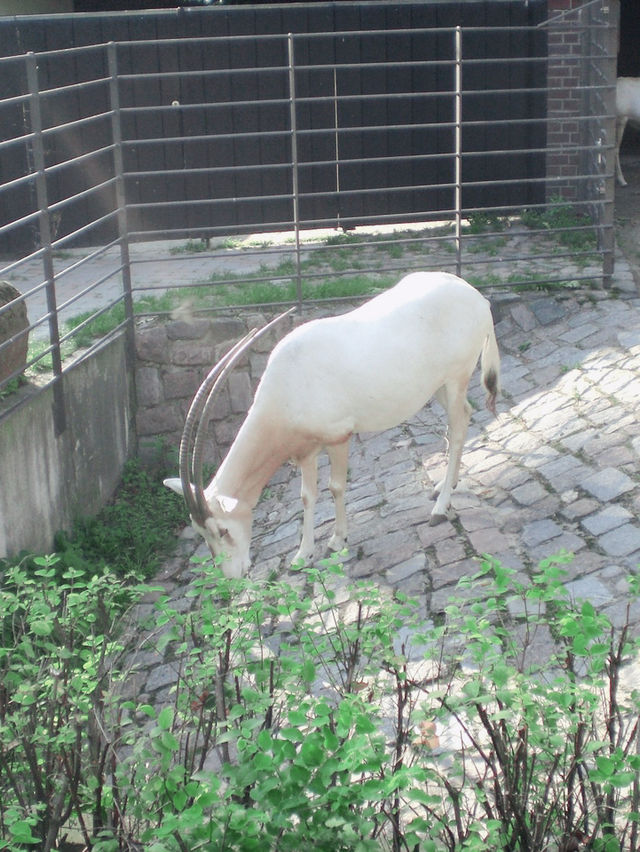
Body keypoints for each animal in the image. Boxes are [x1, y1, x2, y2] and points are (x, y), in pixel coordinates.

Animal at [165, 272, 500, 580]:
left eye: (222, 530)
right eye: (201, 533)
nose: (232, 577)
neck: (289, 381)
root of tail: (475, 295)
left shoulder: (339, 437)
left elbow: (335, 487)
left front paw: (337, 540)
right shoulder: (307, 450)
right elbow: (307, 496)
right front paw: (302, 555)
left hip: (456, 378)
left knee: (458, 427)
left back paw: (440, 509)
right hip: (439, 386)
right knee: (463, 417)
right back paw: (446, 485)